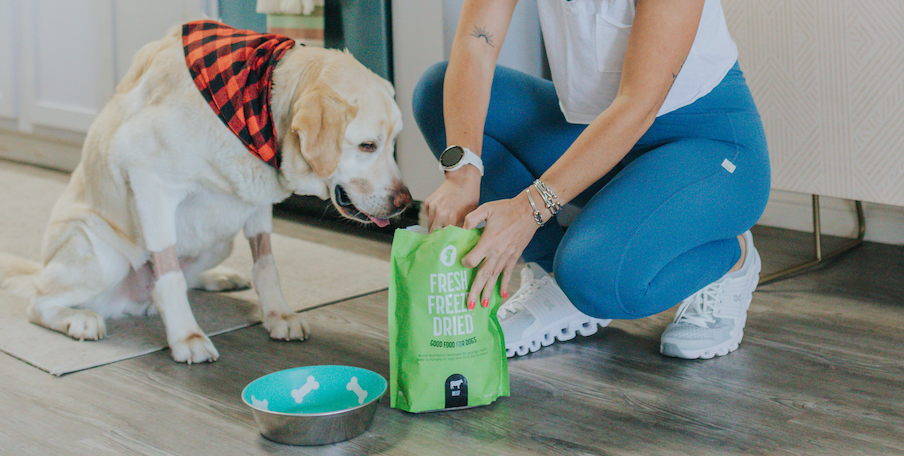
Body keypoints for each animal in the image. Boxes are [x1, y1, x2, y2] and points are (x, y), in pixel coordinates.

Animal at [0, 24, 410, 364]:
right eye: (367, 146)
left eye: (394, 143)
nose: (405, 203)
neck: (259, 103)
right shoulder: (149, 179)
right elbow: (169, 275)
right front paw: (187, 337)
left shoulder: (255, 199)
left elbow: (265, 264)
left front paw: (277, 314)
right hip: (100, 254)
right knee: (39, 300)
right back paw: (79, 320)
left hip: (220, 240)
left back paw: (221, 278)